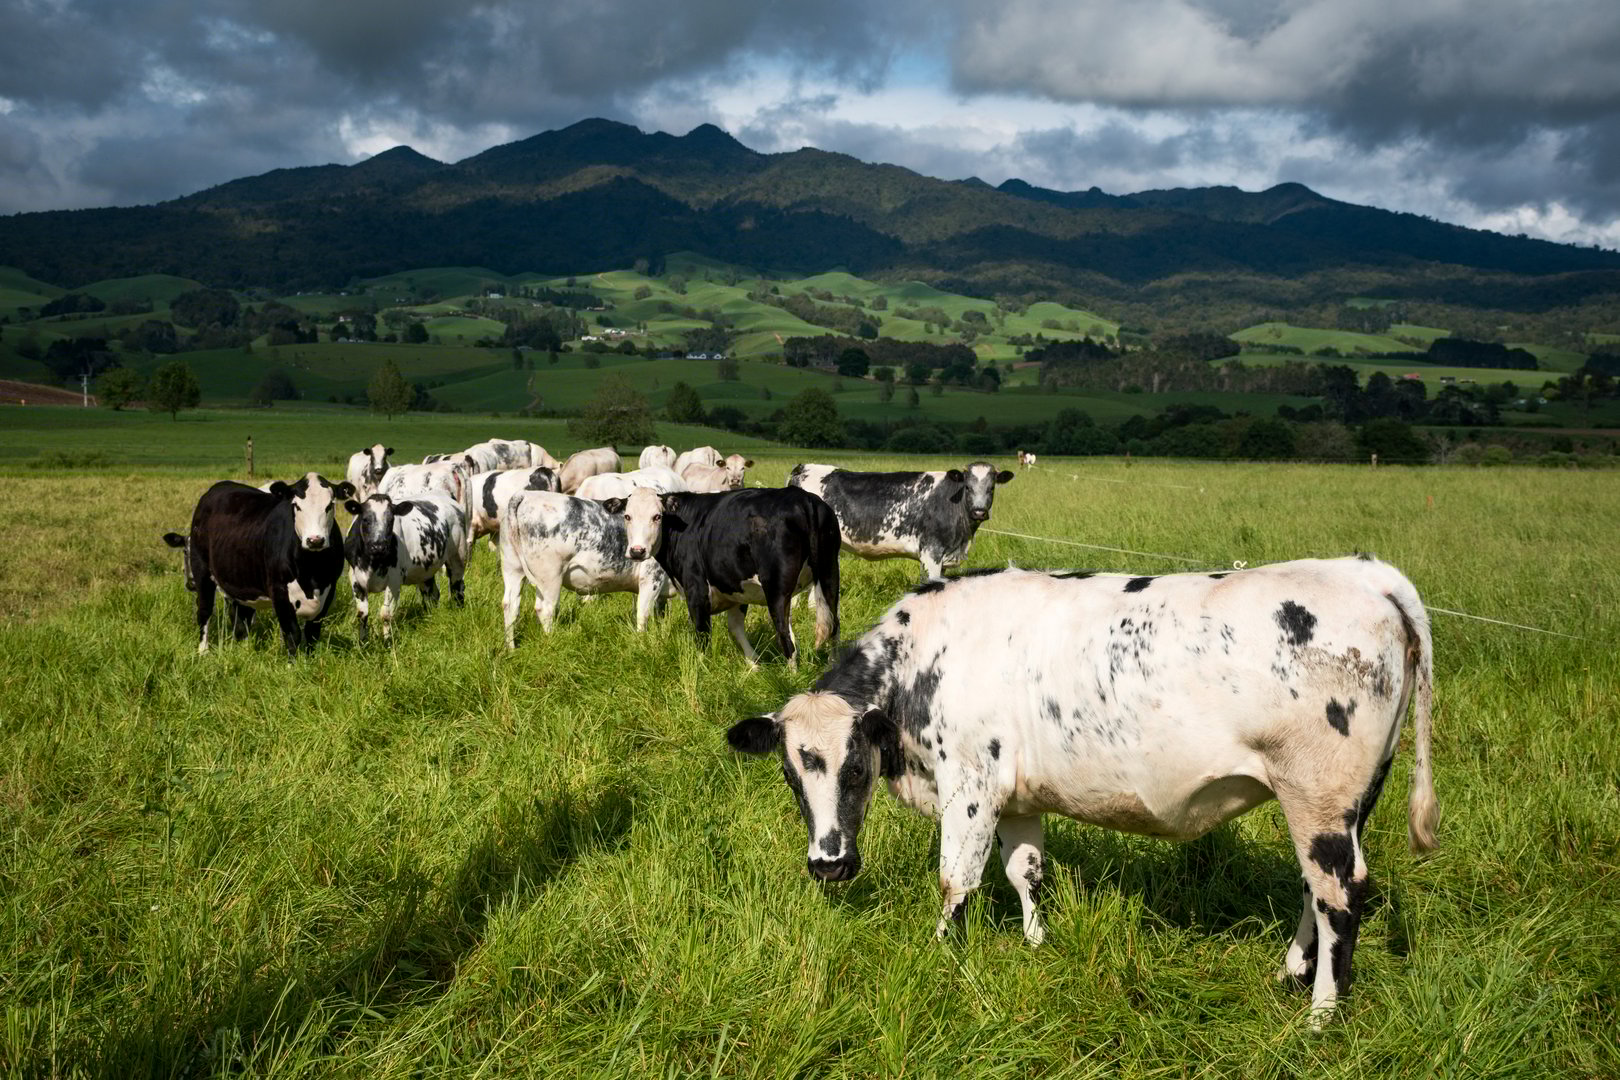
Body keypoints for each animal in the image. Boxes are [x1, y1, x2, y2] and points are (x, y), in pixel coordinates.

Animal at [171, 473, 354, 657]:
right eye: (296, 506)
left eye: (330, 505)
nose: (315, 540)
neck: (312, 572)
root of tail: (218, 487)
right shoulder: (279, 591)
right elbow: (292, 634)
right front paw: (294, 663)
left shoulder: (329, 590)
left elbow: (312, 633)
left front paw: (310, 659)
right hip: (202, 570)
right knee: (205, 610)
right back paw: (203, 651)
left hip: (240, 581)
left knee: (240, 620)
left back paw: (244, 650)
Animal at [343, 492, 468, 644]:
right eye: (365, 519)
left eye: (391, 520)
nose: (379, 546)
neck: (372, 562)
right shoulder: (355, 580)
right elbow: (362, 614)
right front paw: (363, 643)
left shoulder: (394, 580)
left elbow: (386, 614)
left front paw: (388, 642)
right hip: (425, 569)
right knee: (432, 594)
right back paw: (430, 617)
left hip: (458, 555)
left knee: (457, 587)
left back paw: (458, 610)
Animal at [499, 491, 671, 646]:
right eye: (628, 516)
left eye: (657, 516)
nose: (637, 551)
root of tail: (526, 494)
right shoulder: (652, 577)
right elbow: (643, 614)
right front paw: (642, 643)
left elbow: (660, 615)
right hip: (550, 576)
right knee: (545, 609)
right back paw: (550, 642)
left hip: (512, 568)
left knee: (510, 606)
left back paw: (511, 649)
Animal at [621, 486, 841, 667]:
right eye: (627, 516)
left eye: (657, 516)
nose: (637, 551)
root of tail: (802, 498)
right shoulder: (735, 589)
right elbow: (735, 628)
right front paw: (754, 665)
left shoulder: (696, 590)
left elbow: (702, 633)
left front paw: (702, 669)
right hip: (829, 574)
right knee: (834, 627)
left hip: (777, 588)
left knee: (786, 637)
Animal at [725, 557, 1438, 1026]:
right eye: (791, 774)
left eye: (854, 769)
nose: (829, 864)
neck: (926, 656)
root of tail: (1361, 572)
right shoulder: (1016, 796)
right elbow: (1025, 871)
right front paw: (1037, 942)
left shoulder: (971, 783)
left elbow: (957, 878)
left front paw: (943, 954)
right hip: (1348, 802)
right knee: (1316, 889)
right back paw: (1291, 973)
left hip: (1316, 795)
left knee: (1340, 895)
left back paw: (1321, 1015)